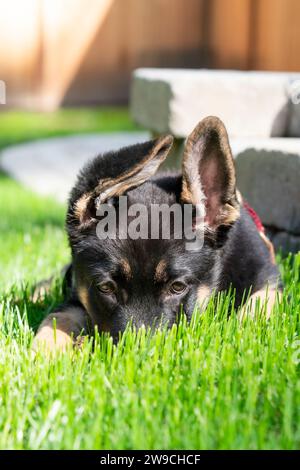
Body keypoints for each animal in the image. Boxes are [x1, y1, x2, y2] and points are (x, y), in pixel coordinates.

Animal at [34, 115, 282, 346]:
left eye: (178, 287)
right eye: (105, 287)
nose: (137, 354)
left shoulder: (268, 279)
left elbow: (256, 309)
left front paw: (244, 333)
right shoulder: (77, 295)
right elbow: (56, 320)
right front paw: (44, 354)